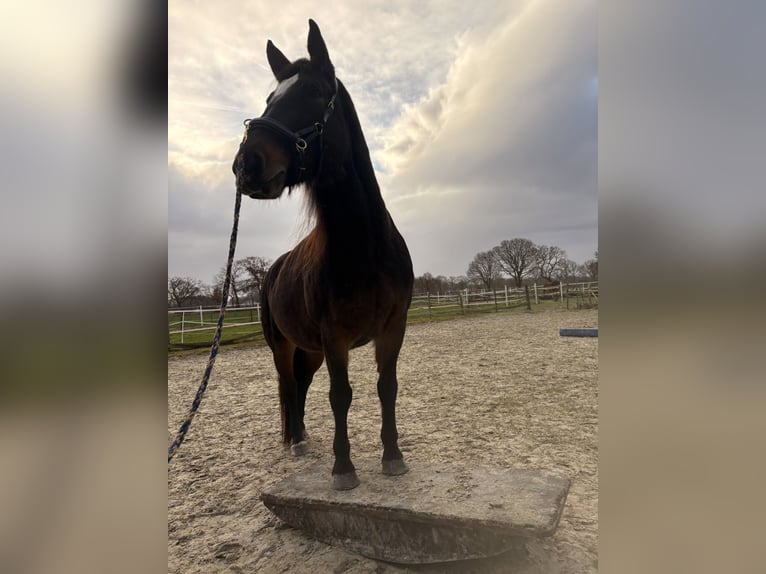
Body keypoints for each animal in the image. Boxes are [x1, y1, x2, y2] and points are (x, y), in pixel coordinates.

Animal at [232, 20, 414, 491]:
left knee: (301, 385)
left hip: (308, 348)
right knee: (288, 384)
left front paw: (393, 457)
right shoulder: (336, 337)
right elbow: (340, 396)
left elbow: (387, 387)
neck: (364, 248)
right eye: (270, 99)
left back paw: (303, 436)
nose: (246, 164)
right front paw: (343, 468)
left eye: (314, 93)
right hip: (283, 345)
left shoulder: (393, 328)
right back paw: (296, 441)